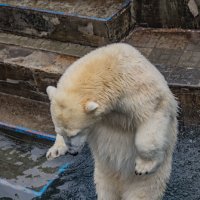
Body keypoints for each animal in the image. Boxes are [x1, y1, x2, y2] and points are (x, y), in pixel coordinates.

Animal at [46, 43, 177, 199]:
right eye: (60, 132)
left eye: (76, 133)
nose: (73, 153)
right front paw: (55, 150)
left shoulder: (137, 88)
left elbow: (152, 115)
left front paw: (144, 166)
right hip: (102, 173)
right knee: (106, 190)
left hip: (149, 180)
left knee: (143, 193)